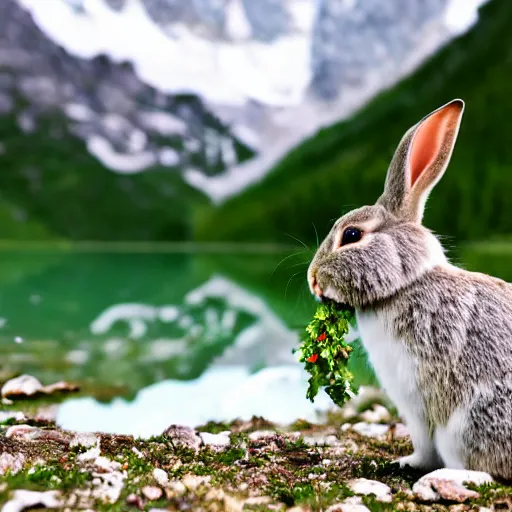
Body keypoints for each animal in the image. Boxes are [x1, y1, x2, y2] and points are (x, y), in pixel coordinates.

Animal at [306, 100, 512, 480]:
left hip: (469, 424)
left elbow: (424, 443)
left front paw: (408, 463)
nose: (313, 280)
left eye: (352, 235)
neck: (406, 283)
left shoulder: (418, 399)